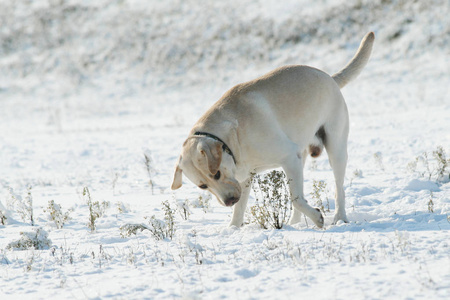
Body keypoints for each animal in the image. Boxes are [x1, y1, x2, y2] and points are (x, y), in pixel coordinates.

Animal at [171, 32, 374, 227]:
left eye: (217, 173)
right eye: (202, 186)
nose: (228, 201)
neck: (231, 139)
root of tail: (330, 78)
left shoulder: (288, 157)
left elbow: (296, 198)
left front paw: (318, 218)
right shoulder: (245, 178)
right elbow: (240, 210)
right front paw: (233, 229)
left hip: (335, 148)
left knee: (338, 188)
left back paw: (340, 218)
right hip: (301, 155)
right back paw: (294, 223)